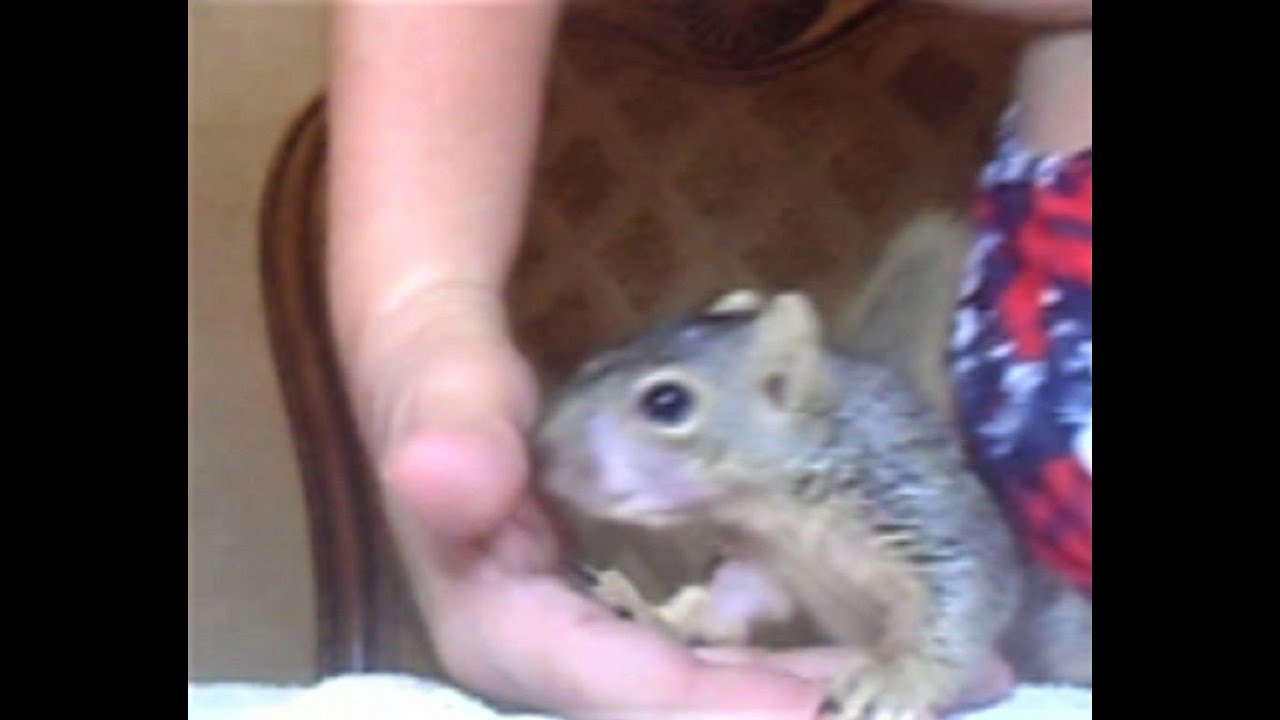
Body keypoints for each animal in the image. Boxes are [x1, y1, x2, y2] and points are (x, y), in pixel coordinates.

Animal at [532, 284, 1091, 720]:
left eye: (667, 402)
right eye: (595, 361)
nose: (543, 451)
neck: (781, 512)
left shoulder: (916, 501)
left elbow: (965, 587)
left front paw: (896, 678)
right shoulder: (766, 561)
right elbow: (727, 600)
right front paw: (648, 614)